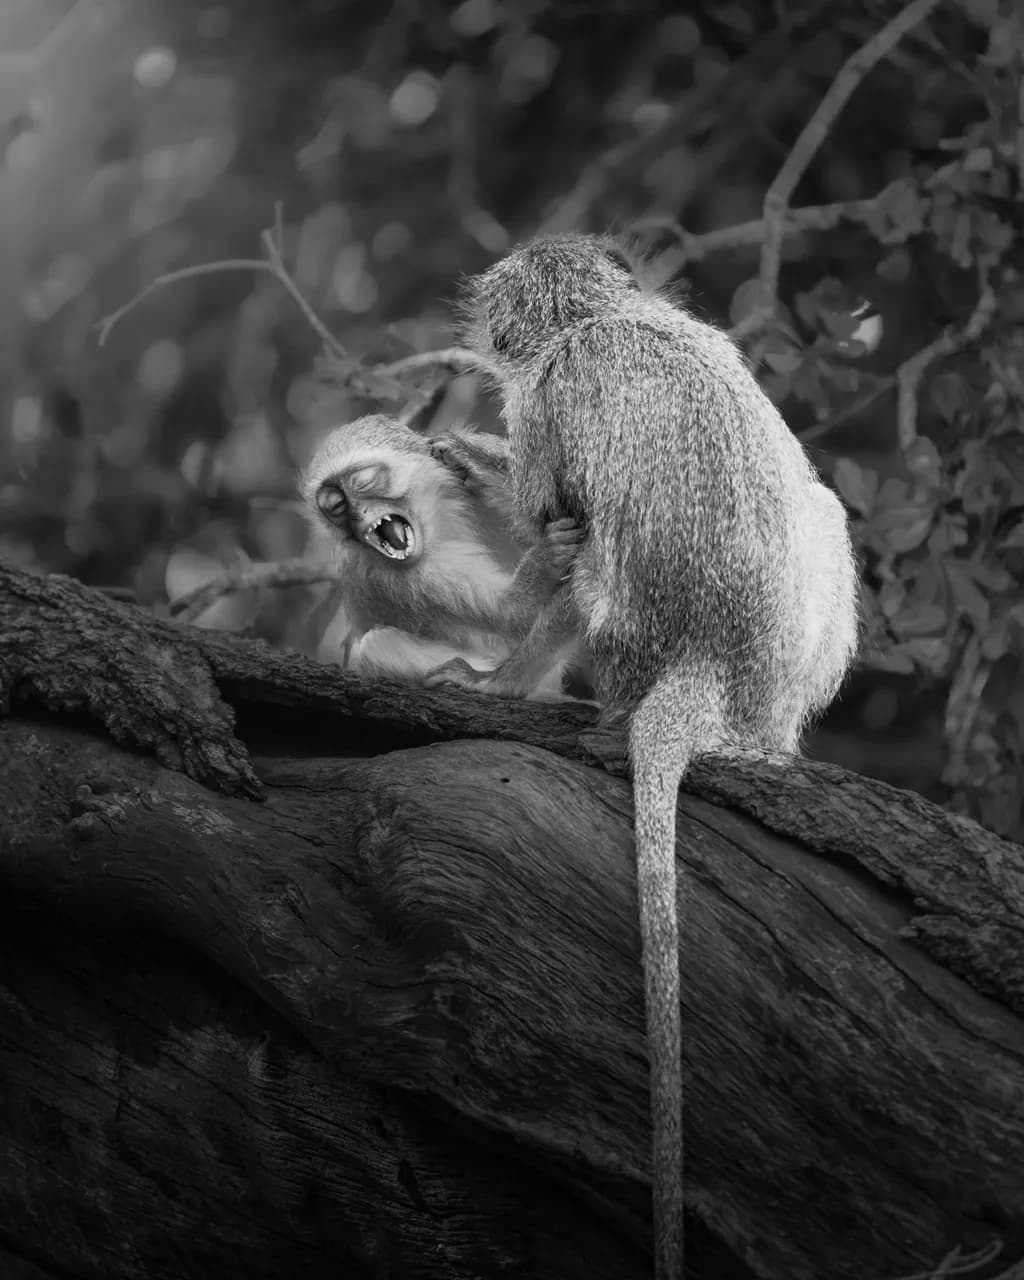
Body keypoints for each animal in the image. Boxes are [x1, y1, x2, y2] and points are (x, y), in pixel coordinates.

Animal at [299, 413, 592, 699]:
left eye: (364, 481)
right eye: (337, 507)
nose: (358, 516)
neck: (438, 518)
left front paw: (471, 459)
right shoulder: (383, 576)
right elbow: (516, 613)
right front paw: (544, 559)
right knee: (374, 646)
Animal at [424, 234, 859, 1279]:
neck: (599, 318)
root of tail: (713, 663)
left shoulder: (544, 396)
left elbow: (543, 506)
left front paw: (477, 454)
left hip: (630, 645)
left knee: (583, 549)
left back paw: (519, 685)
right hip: (777, 679)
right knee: (821, 507)